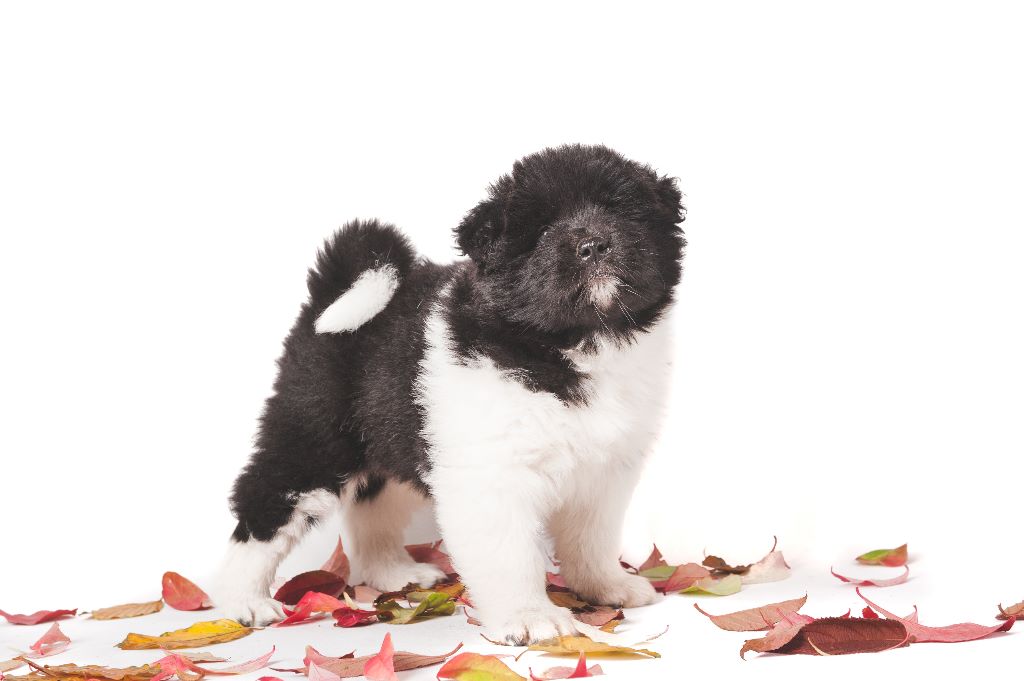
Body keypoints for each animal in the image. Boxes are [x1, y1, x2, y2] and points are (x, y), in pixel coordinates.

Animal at [213, 144, 686, 644]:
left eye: (619, 212)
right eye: (540, 232)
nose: (593, 244)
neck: (573, 343)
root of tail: (325, 299)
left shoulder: (604, 471)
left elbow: (591, 540)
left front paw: (606, 586)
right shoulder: (492, 476)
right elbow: (511, 556)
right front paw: (530, 616)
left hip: (393, 442)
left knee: (372, 510)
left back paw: (393, 573)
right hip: (316, 441)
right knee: (265, 505)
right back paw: (242, 599)